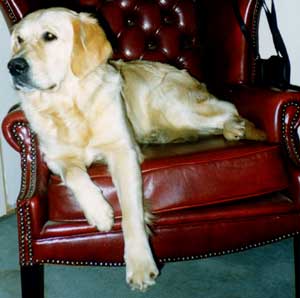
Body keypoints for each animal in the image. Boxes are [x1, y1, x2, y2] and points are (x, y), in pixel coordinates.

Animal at [7, 7, 264, 292]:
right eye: (19, 39)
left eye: (49, 36)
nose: (14, 66)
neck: (70, 105)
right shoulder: (56, 158)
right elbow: (75, 175)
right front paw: (99, 212)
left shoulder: (123, 151)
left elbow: (131, 212)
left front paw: (140, 264)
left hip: (173, 106)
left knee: (229, 109)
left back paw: (235, 128)